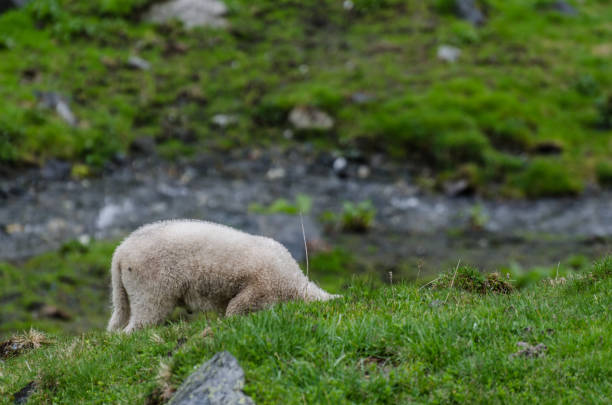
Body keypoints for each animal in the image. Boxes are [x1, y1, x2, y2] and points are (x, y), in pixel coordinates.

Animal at [109, 221, 340, 332]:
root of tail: (120, 253)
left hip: (126, 289)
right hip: (151, 283)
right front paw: (231, 320)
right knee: (143, 318)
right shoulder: (262, 286)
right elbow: (239, 306)